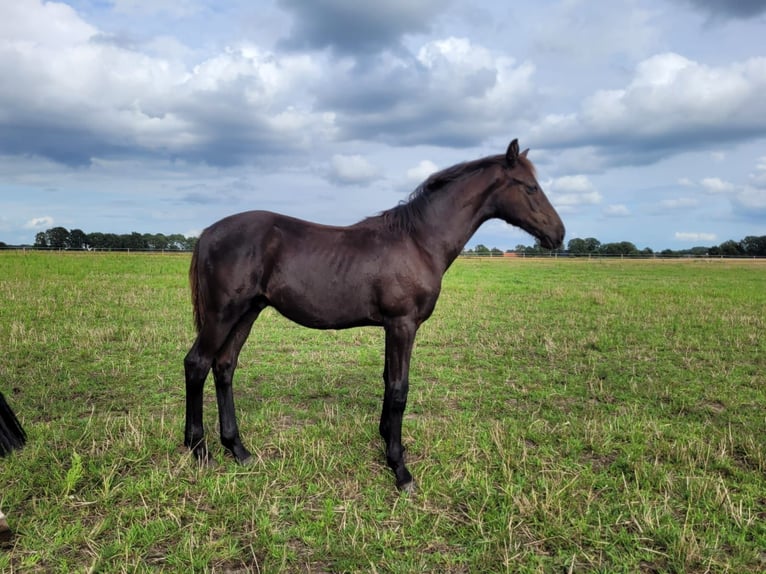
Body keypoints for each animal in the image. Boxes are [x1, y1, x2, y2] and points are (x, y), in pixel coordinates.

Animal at [183, 138, 568, 490]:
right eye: (530, 187)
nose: (558, 234)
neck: (418, 241)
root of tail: (207, 233)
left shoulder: (392, 327)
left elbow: (387, 380)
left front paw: (388, 442)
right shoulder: (402, 324)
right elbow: (399, 389)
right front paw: (400, 469)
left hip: (247, 313)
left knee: (224, 366)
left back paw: (238, 449)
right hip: (222, 315)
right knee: (197, 364)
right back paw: (199, 449)